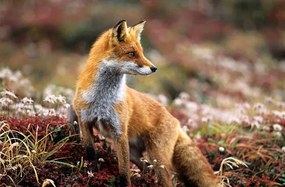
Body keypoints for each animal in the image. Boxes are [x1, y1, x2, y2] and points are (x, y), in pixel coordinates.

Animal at [70, 20, 220, 187]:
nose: (154, 68)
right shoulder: (84, 120)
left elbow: (124, 172)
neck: (102, 99)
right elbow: (90, 152)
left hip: (158, 159)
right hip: (136, 154)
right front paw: (91, 170)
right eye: (131, 54)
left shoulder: (119, 132)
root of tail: (176, 121)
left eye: (141, 52)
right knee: (146, 169)